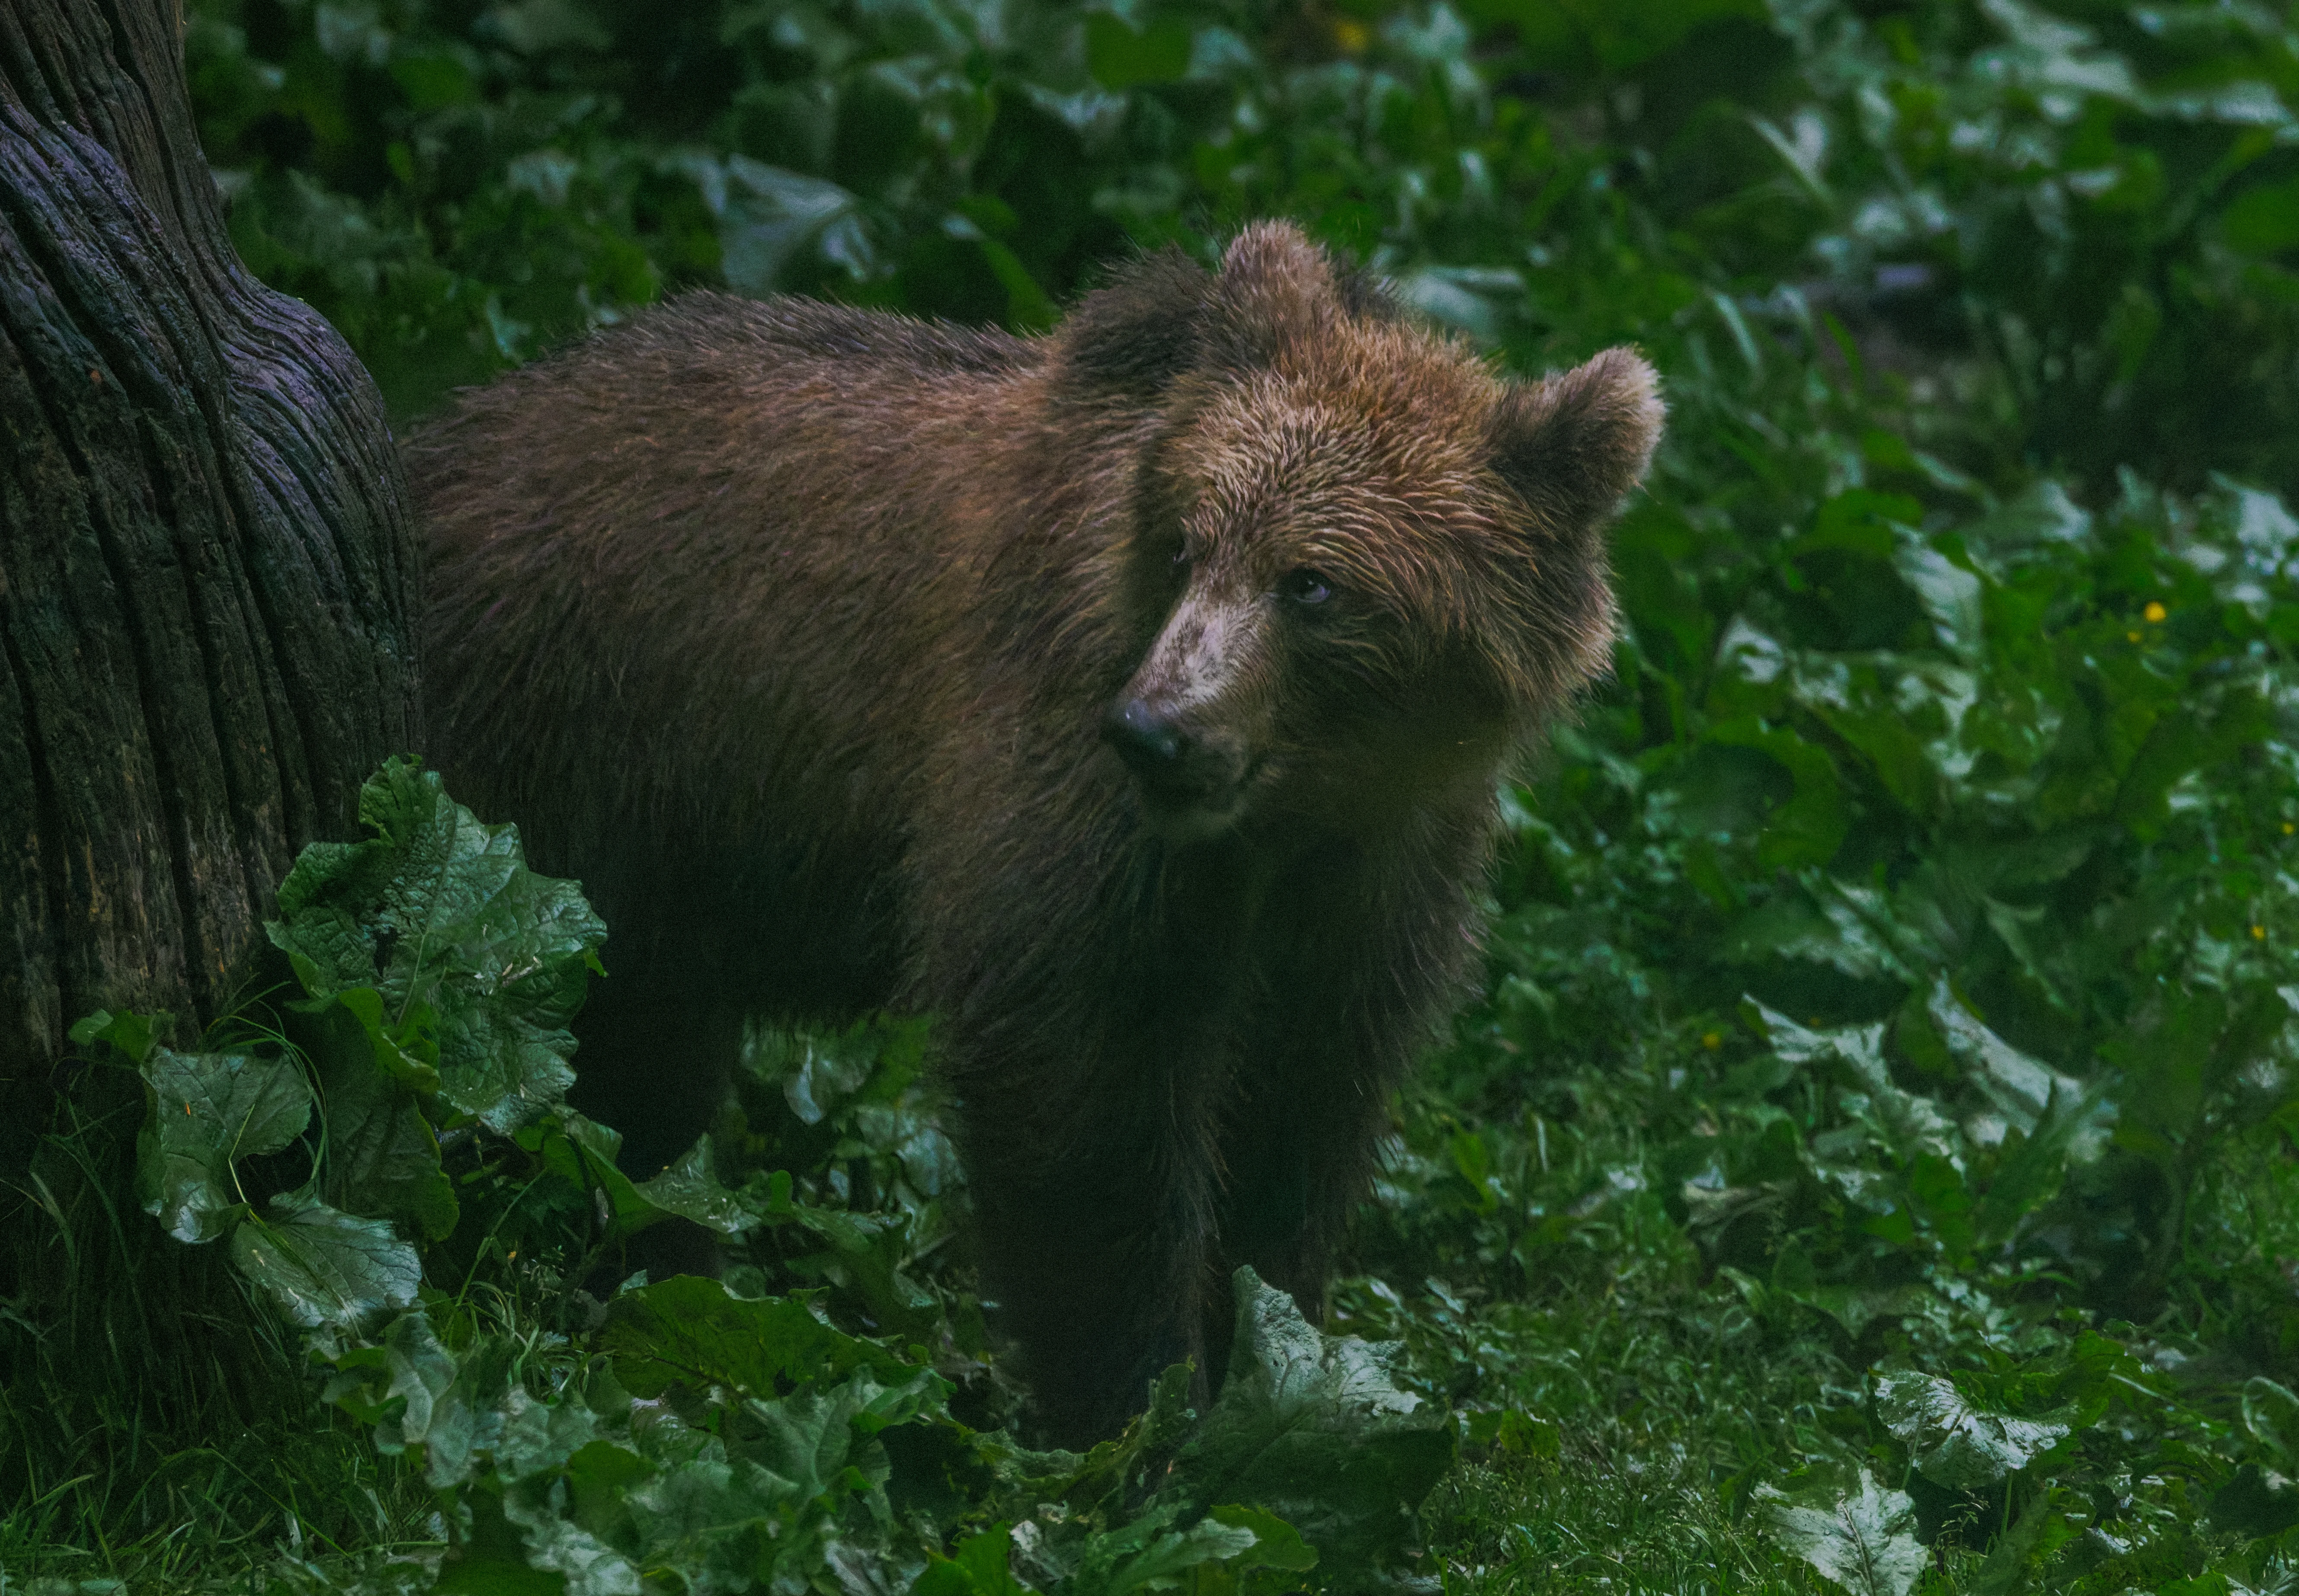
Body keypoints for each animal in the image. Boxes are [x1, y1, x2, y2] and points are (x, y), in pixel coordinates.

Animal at [410, 221, 1662, 1446]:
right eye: (1185, 546)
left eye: (1312, 584)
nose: (1156, 730)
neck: (1292, 805)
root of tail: (443, 433)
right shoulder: (1067, 793)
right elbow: (1082, 1085)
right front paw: (1139, 1408)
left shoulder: (1381, 870)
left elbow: (1303, 1104)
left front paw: (1278, 1349)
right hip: (560, 762)